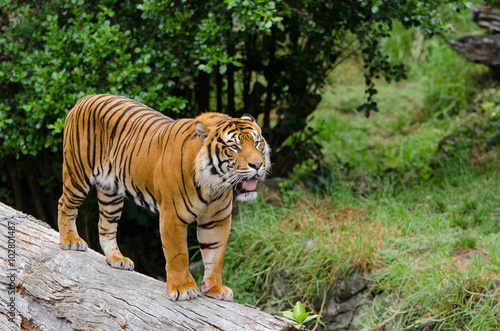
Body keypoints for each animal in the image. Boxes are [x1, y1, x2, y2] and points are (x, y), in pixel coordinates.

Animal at [56, 94, 272, 302]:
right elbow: (178, 254)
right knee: (64, 204)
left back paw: (117, 259)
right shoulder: (172, 216)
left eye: (257, 142)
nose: (257, 164)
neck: (214, 185)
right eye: (234, 146)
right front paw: (183, 288)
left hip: (111, 193)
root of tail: (84, 98)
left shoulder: (217, 220)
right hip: (78, 174)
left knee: (106, 225)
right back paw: (70, 240)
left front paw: (215, 288)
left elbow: (215, 255)